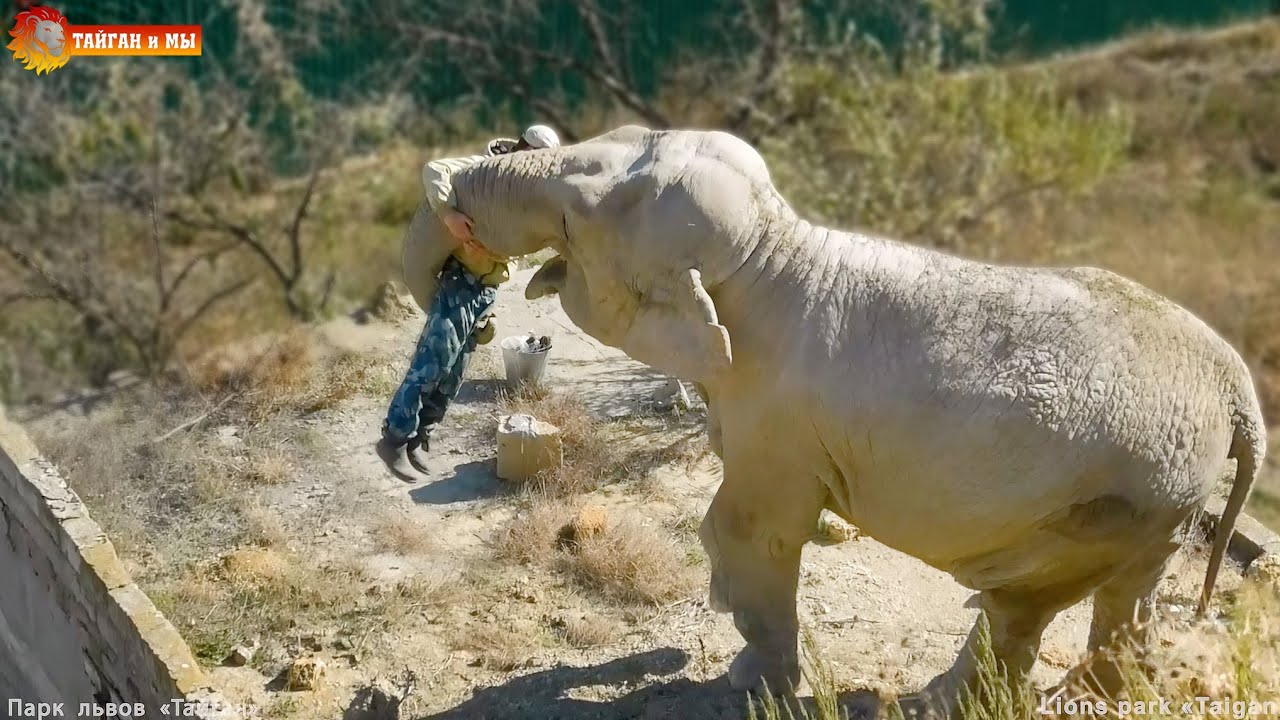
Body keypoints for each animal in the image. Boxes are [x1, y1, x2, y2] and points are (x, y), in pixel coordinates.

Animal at [399, 125, 1267, 715]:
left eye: (583, 213)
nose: (455, 202)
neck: (777, 248)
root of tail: (1238, 388)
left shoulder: (779, 419)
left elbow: (751, 528)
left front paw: (752, 683)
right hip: (1165, 498)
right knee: (1118, 597)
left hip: (1126, 491)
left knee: (1021, 598)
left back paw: (942, 703)